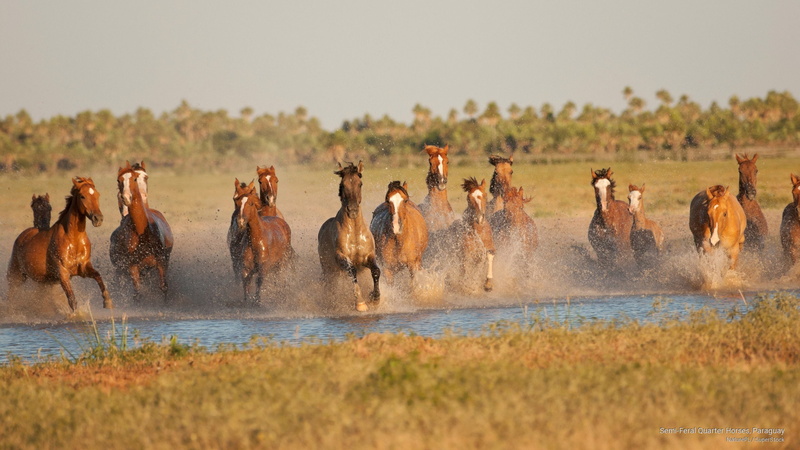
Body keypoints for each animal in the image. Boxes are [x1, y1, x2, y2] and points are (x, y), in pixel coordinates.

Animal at [7, 177, 112, 312]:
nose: (98, 218)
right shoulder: (62, 273)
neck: (73, 241)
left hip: (43, 282)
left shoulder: (83, 268)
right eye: (82, 196)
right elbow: (72, 300)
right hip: (16, 276)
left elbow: (98, 276)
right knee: (10, 295)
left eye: (97, 194)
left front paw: (107, 302)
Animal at [109, 168, 174, 300]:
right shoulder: (133, 266)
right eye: (119, 180)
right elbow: (137, 292)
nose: (126, 197)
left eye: (134, 178)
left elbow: (164, 287)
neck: (142, 234)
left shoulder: (161, 262)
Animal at [317, 162, 381, 312]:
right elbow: (352, 272)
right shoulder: (341, 257)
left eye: (360, 183)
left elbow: (376, 271)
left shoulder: (368, 257)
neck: (355, 233)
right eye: (342, 184)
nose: (352, 210)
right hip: (329, 270)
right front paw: (360, 303)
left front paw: (375, 298)